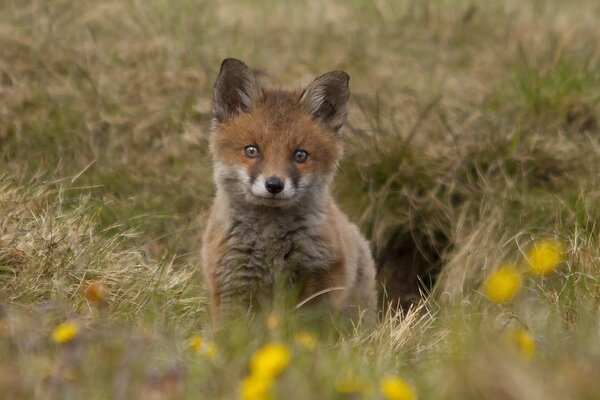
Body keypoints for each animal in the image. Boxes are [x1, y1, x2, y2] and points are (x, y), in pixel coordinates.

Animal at [204, 58, 378, 324]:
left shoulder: (321, 280)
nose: (274, 185)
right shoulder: (231, 283)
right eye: (252, 150)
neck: (270, 245)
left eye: (300, 155)